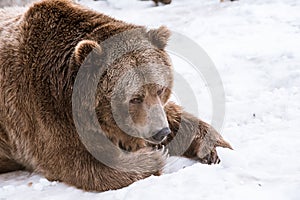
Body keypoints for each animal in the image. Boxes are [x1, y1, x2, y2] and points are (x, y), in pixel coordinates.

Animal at [0, 0, 232, 191]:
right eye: (134, 98)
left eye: (160, 89)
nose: (161, 133)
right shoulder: (43, 112)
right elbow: (84, 163)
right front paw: (155, 157)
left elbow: (175, 115)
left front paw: (211, 146)